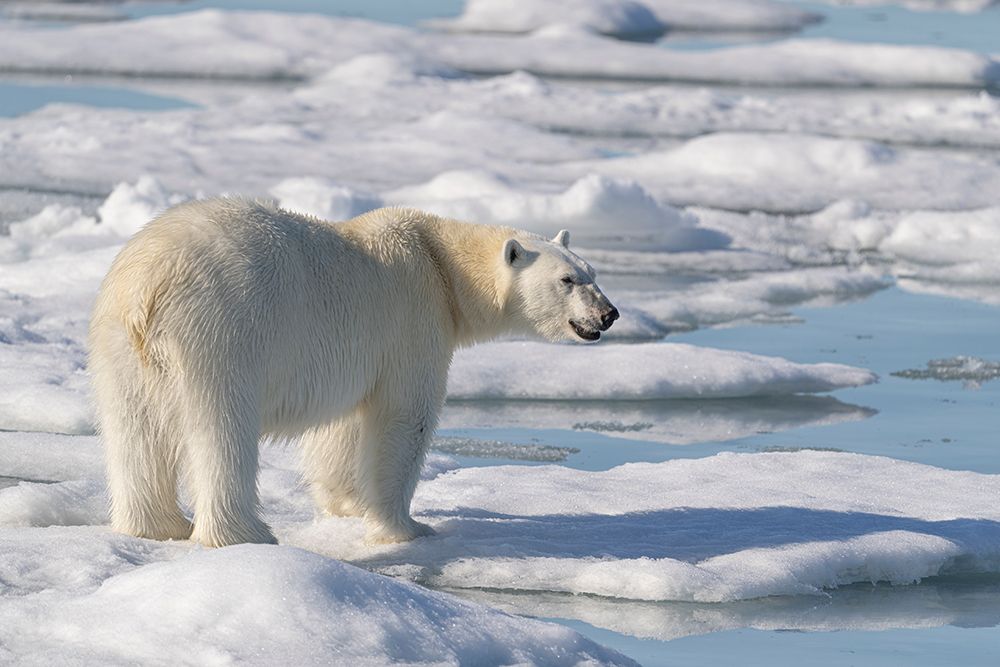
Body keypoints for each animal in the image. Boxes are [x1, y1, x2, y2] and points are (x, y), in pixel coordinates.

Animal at [89, 200, 619, 547]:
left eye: (593, 272)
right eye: (567, 280)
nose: (609, 313)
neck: (442, 267)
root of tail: (148, 289)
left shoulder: (357, 353)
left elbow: (342, 427)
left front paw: (344, 504)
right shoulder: (411, 322)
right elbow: (403, 419)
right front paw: (406, 528)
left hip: (117, 344)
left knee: (132, 430)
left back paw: (155, 526)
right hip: (220, 332)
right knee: (222, 429)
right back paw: (243, 533)